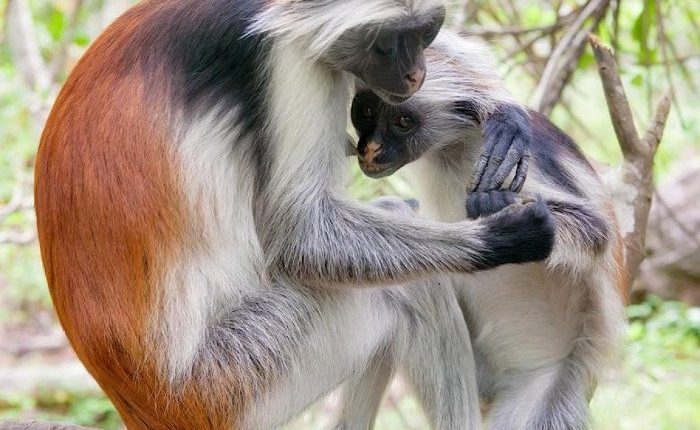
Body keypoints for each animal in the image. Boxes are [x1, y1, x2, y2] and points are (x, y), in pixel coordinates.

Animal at [35, 0, 556, 430]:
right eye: (389, 42)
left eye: (425, 33)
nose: (416, 75)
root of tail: (143, 405)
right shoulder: (288, 60)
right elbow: (299, 235)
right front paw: (502, 237)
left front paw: (494, 100)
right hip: (238, 379)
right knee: (406, 288)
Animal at [350, 29, 628, 426]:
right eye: (367, 111)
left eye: (402, 121)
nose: (370, 149)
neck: (453, 146)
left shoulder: (520, 161)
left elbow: (597, 231)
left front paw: (502, 211)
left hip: (543, 393)